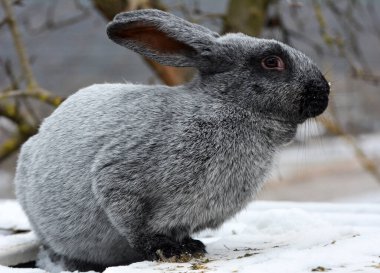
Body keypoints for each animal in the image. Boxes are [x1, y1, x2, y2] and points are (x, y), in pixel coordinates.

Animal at [14, 8, 330, 272]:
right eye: (271, 61)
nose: (324, 92)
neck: (226, 106)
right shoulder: (119, 178)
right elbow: (132, 222)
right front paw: (166, 251)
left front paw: (191, 247)